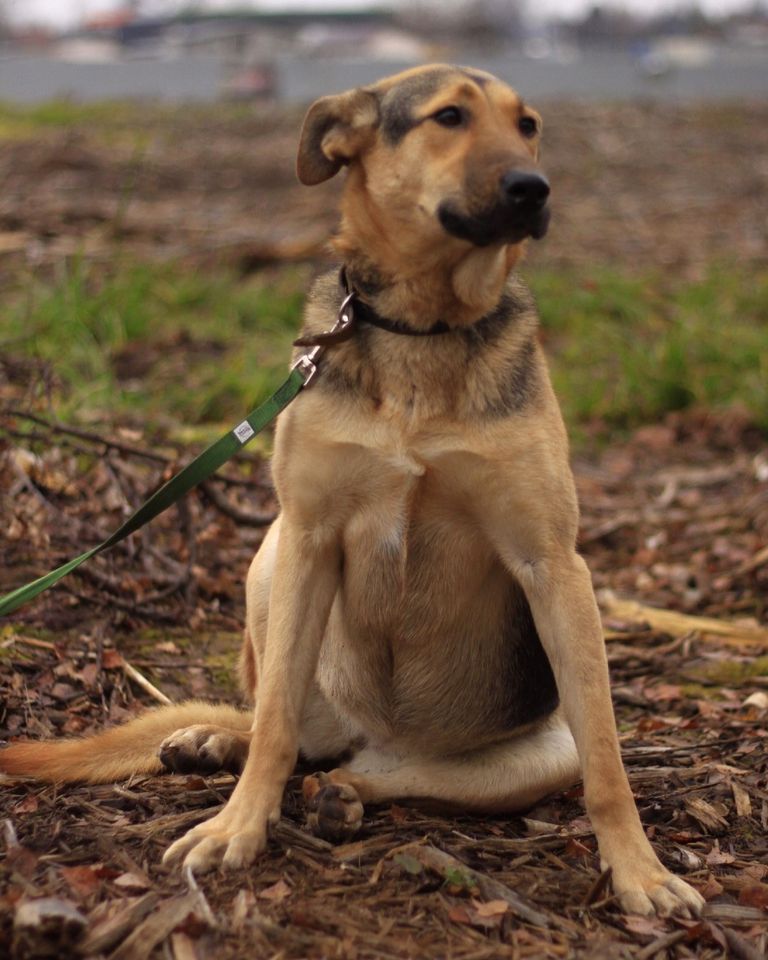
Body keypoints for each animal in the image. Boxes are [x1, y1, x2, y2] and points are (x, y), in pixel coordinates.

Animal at [1, 63, 708, 920]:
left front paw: (639, 871)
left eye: (529, 125)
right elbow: (273, 722)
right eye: (449, 117)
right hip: (270, 560)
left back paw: (340, 797)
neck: (422, 327)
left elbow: (608, 762)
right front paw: (236, 826)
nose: (534, 189)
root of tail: (370, 732)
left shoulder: (553, 565)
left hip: (526, 750)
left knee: (378, 772)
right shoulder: (310, 538)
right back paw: (221, 745)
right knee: (290, 728)